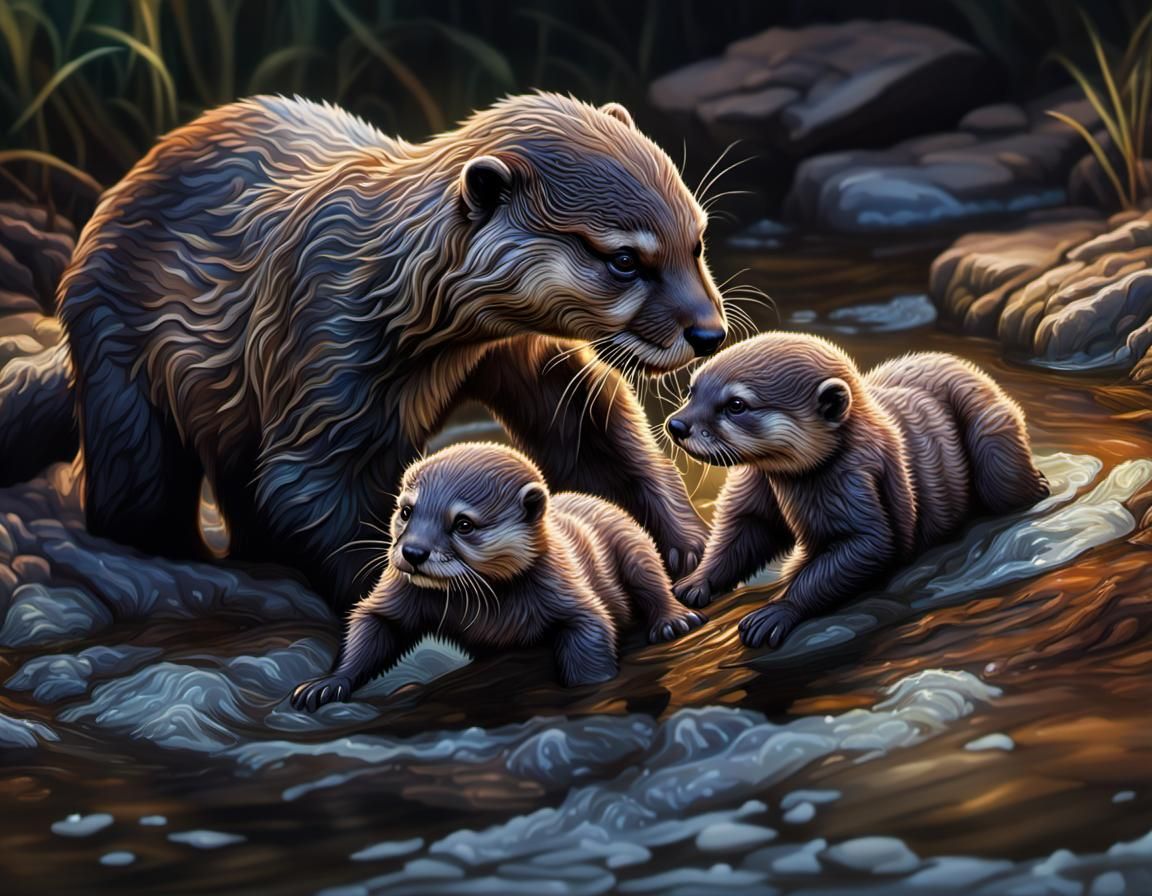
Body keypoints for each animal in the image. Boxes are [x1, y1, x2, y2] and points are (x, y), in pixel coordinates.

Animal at [37, 93, 727, 609]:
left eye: (696, 240)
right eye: (625, 260)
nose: (709, 333)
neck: (389, 286)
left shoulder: (520, 349)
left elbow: (594, 439)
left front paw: (685, 543)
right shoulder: (323, 349)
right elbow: (304, 490)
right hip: (116, 366)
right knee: (134, 494)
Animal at [291, 442, 705, 709]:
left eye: (463, 523)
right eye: (407, 511)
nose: (413, 552)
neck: (493, 611)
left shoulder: (565, 586)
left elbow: (591, 632)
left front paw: (587, 693)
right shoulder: (400, 591)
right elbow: (372, 624)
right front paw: (326, 684)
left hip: (632, 545)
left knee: (652, 581)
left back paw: (673, 621)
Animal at [665, 333, 1049, 648]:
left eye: (736, 405)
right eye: (692, 390)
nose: (677, 425)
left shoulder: (856, 481)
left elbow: (865, 547)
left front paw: (776, 612)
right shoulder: (756, 489)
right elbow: (740, 536)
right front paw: (694, 583)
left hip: (993, 442)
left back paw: (1041, 485)